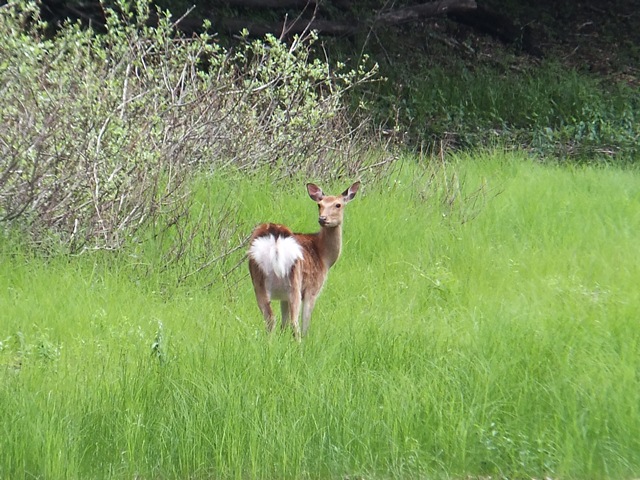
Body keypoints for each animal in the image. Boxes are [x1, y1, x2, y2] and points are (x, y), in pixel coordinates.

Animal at [248, 182, 360, 340]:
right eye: (319, 204)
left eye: (338, 205)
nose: (323, 219)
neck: (324, 257)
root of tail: (275, 238)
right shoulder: (312, 289)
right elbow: (305, 322)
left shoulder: (283, 297)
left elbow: (283, 324)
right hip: (294, 281)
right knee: (294, 322)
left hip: (258, 281)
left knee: (270, 319)